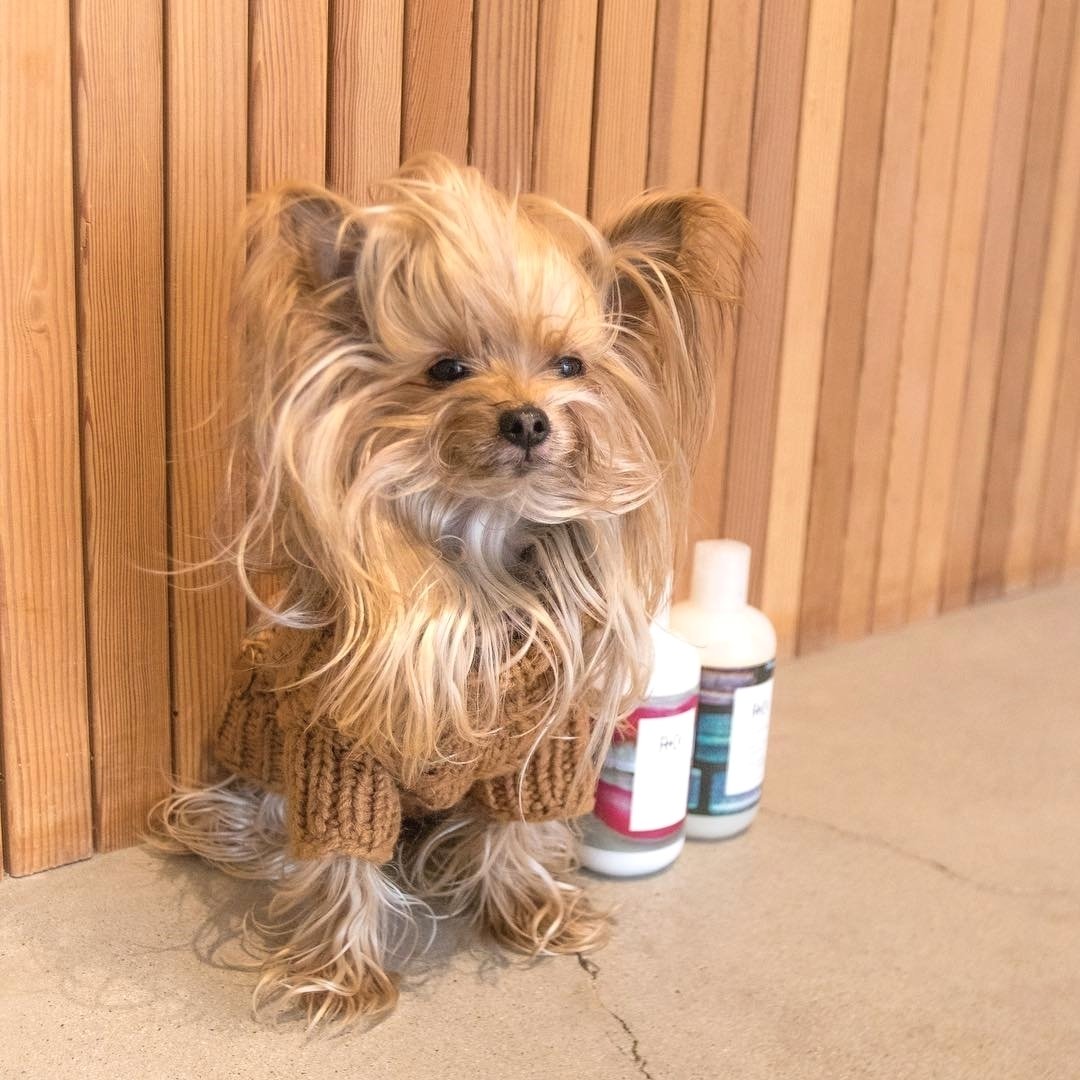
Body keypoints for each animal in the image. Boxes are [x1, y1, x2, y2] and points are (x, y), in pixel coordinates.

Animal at [152, 156, 747, 1023]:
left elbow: (516, 827)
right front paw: (338, 978)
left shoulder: (534, 744)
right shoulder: (340, 749)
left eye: (571, 365)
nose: (528, 420)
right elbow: (342, 855)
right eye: (446, 370)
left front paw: (535, 912)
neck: (483, 545)